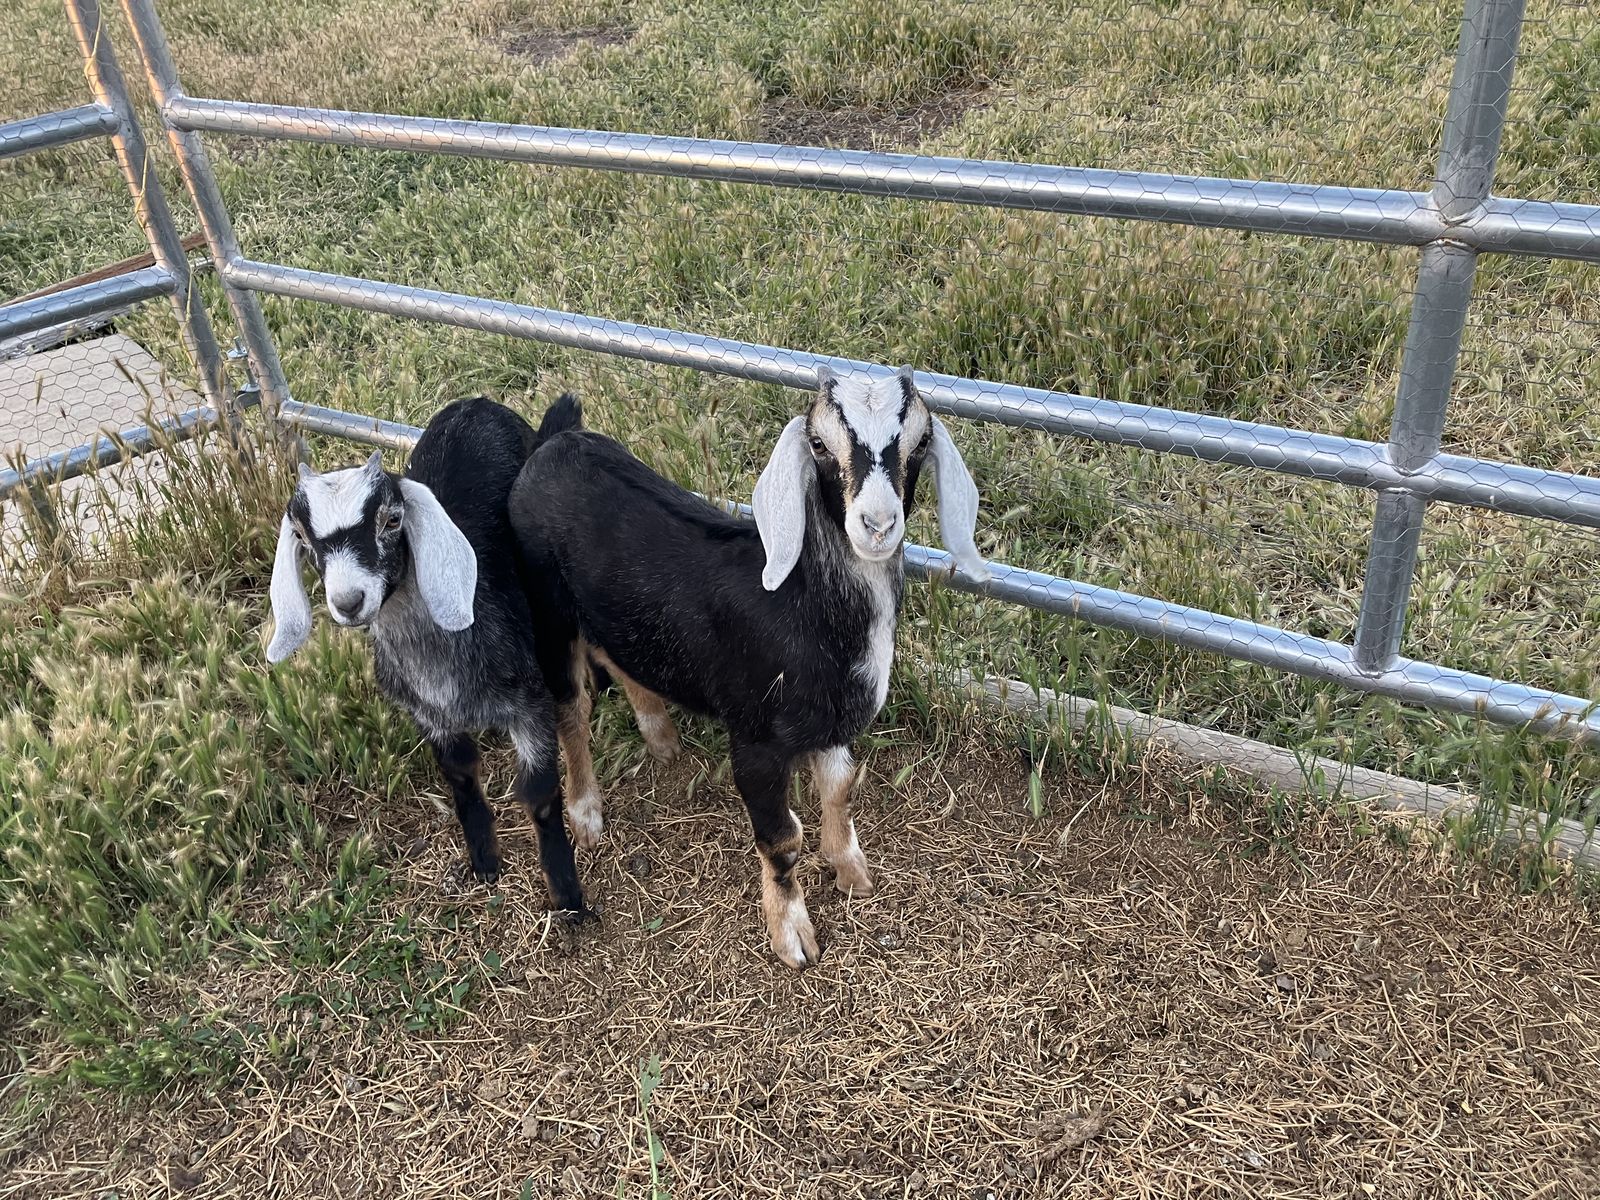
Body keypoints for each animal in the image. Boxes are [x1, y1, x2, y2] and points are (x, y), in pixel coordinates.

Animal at [264, 396, 596, 918]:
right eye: (300, 534)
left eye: (391, 519)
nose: (349, 601)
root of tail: (476, 402)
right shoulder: (430, 715)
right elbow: (460, 778)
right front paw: (485, 862)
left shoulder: (530, 706)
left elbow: (541, 796)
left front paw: (568, 898)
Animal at [509, 366, 988, 967]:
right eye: (818, 444)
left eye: (921, 442)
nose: (877, 525)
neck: (804, 602)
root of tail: (552, 441)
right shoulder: (755, 738)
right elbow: (782, 837)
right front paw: (792, 935)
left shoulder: (832, 720)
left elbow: (840, 788)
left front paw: (850, 870)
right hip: (548, 610)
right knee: (570, 707)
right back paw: (586, 812)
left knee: (618, 659)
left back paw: (661, 737)